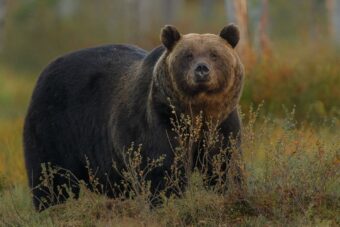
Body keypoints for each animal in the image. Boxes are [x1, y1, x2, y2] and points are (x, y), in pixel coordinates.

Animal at [23, 24, 244, 210]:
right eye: (188, 55)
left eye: (214, 54)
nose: (201, 69)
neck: (196, 112)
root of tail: (46, 69)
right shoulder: (158, 118)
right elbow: (161, 167)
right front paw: (167, 201)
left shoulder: (222, 121)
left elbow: (224, 161)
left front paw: (229, 191)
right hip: (55, 124)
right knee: (51, 175)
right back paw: (52, 207)